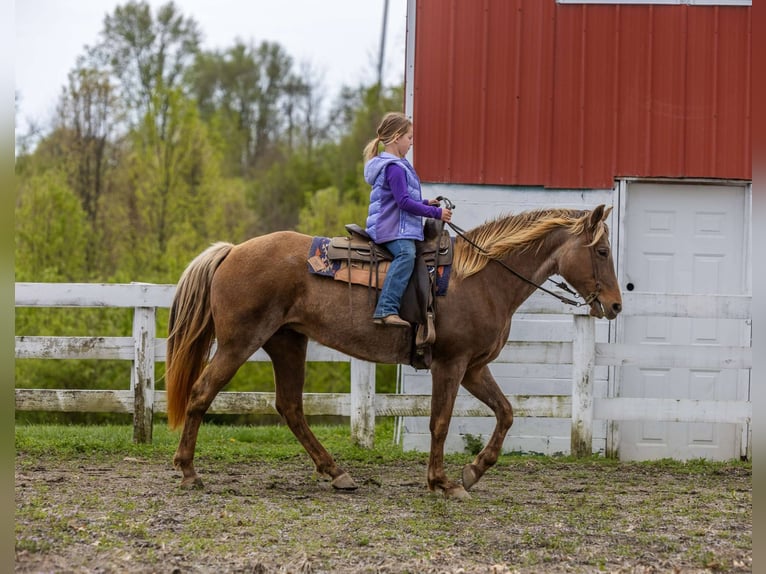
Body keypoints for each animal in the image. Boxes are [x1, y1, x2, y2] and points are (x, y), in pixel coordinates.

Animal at [165, 204, 622, 499]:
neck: (480, 278)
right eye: (601, 251)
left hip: (287, 341)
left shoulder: (473, 368)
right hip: (240, 342)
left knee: (290, 407)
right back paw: (188, 472)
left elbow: (506, 412)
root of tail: (232, 251)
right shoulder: (451, 364)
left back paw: (337, 472)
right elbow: (440, 422)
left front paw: (472, 472)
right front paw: (442, 482)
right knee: (202, 394)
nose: (616, 305)